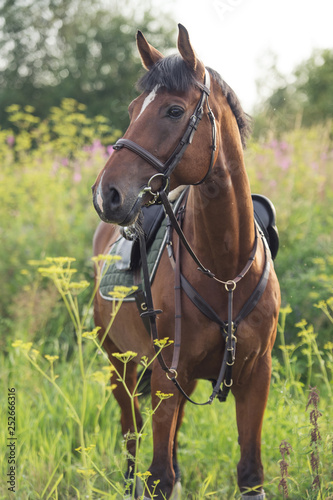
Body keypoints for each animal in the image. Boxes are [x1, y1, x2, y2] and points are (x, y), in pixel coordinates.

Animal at [91, 24, 280, 500]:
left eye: (174, 111)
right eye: (133, 109)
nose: (106, 195)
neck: (226, 271)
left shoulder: (256, 376)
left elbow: (250, 474)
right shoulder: (165, 377)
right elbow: (159, 476)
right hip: (120, 367)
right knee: (133, 439)